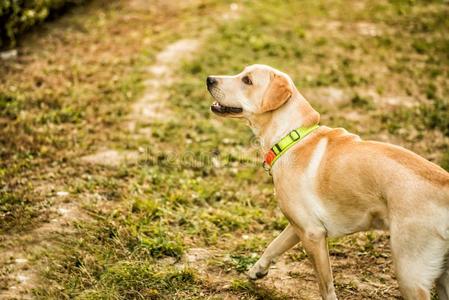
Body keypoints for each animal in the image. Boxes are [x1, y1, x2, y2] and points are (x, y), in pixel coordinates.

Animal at [207, 64, 449, 298]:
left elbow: (326, 286)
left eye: (247, 80)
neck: (290, 137)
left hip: (409, 272)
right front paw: (257, 270)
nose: (209, 79)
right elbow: (274, 245)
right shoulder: (300, 225)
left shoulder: (313, 234)